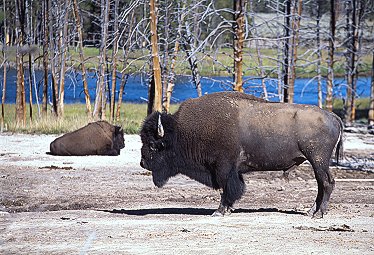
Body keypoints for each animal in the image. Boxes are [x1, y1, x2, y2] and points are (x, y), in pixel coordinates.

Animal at [140, 91, 342, 217]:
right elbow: (233, 188)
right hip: (317, 162)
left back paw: (318, 213)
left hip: (318, 160)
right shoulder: (231, 171)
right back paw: (311, 211)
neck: (181, 131)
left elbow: (227, 188)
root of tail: (332, 116)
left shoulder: (223, 168)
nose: (143, 163)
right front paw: (228, 209)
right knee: (321, 184)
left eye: (152, 144)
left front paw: (219, 211)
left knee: (327, 183)